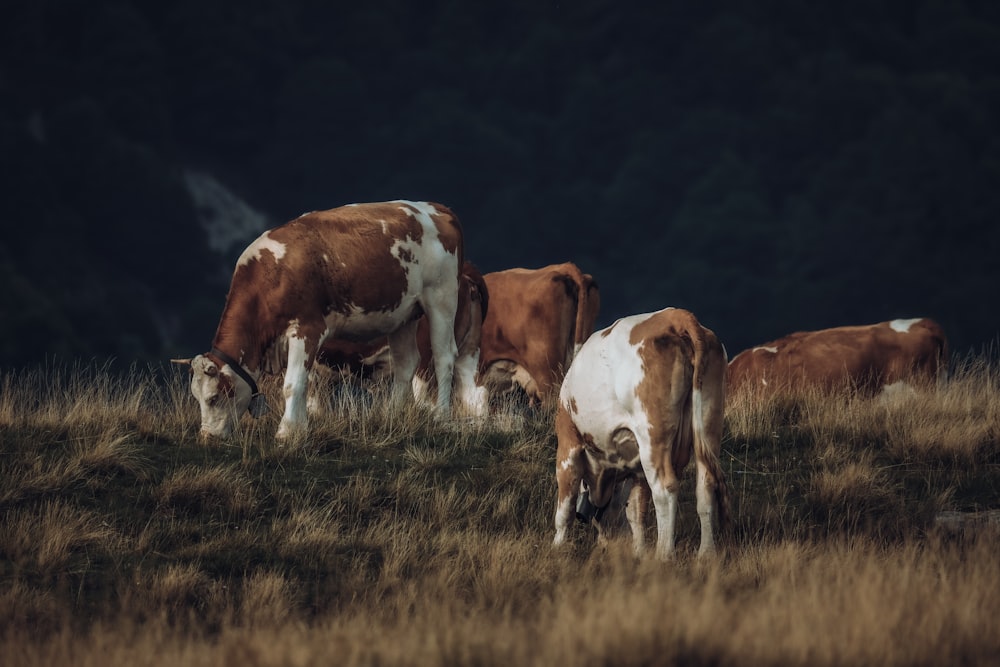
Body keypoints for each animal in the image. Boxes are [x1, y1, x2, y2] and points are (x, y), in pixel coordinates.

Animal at [552, 310, 732, 560]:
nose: (604, 544)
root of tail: (674, 316)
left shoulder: (568, 445)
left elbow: (565, 507)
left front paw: (556, 547)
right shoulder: (636, 467)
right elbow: (636, 511)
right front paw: (638, 551)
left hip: (652, 438)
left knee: (665, 490)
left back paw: (664, 554)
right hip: (708, 423)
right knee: (705, 487)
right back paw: (706, 554)